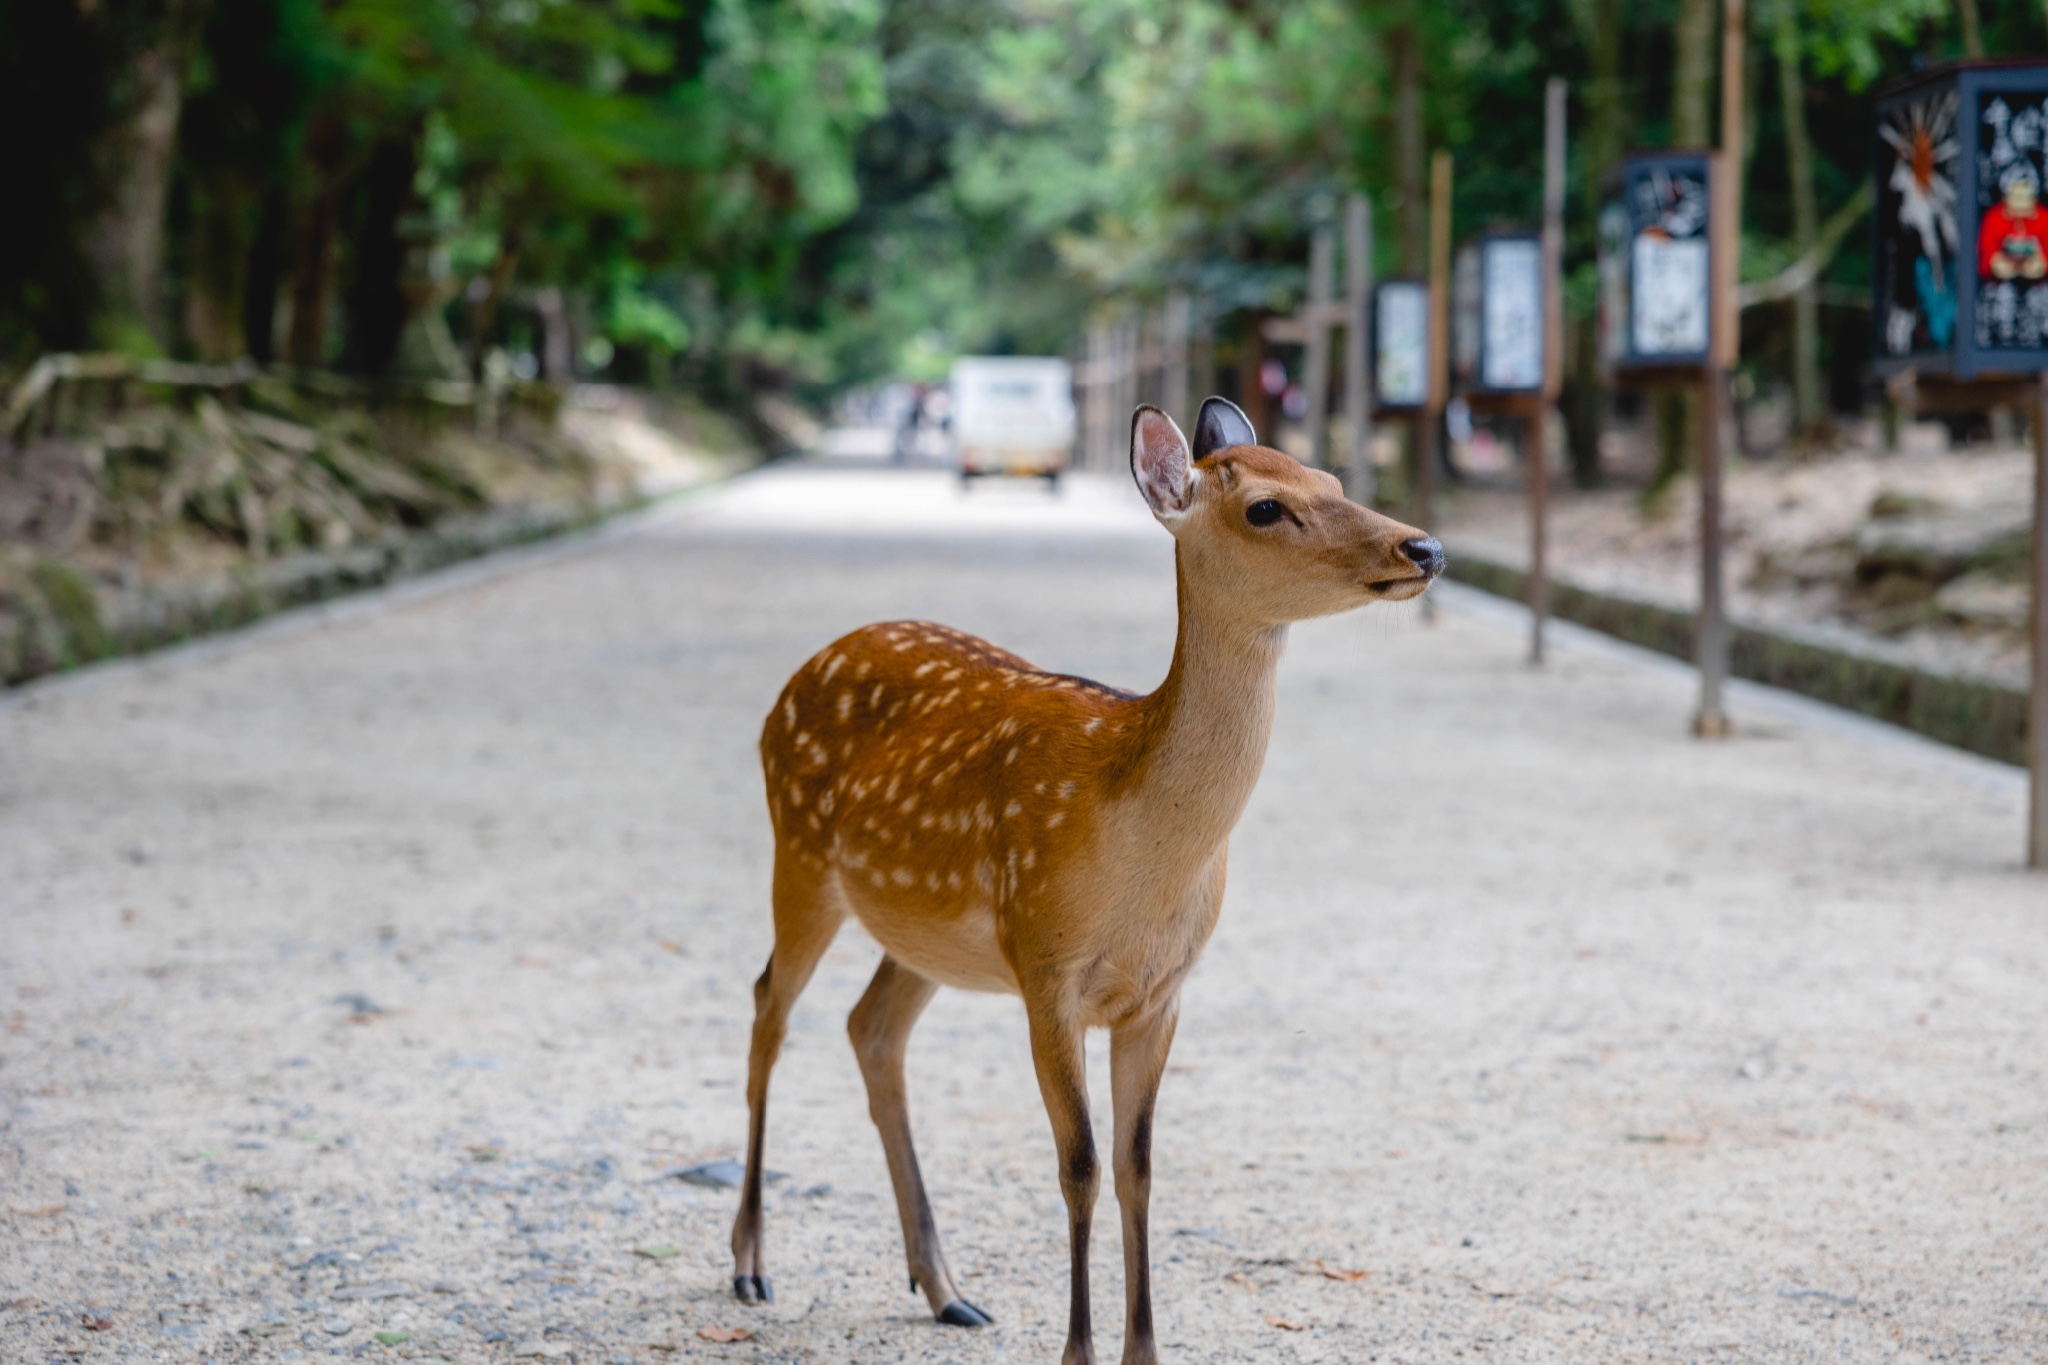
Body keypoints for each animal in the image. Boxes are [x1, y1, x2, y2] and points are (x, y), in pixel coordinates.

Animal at [733, 401, 1441, 1358]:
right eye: (1264, 507)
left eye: (1329, 478)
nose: (1424, 547)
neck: (1138, 851)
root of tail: (799, 676)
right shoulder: (1047, 968)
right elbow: (1080, 1164)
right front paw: (1079, 1348)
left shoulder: (1161, 992)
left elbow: (1139, 1166)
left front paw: (1144, 1349)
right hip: (800, 850)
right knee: (770, 1005)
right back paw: (750, 1263)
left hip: (923, 931)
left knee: (870, 1027)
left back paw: (946, 1288)